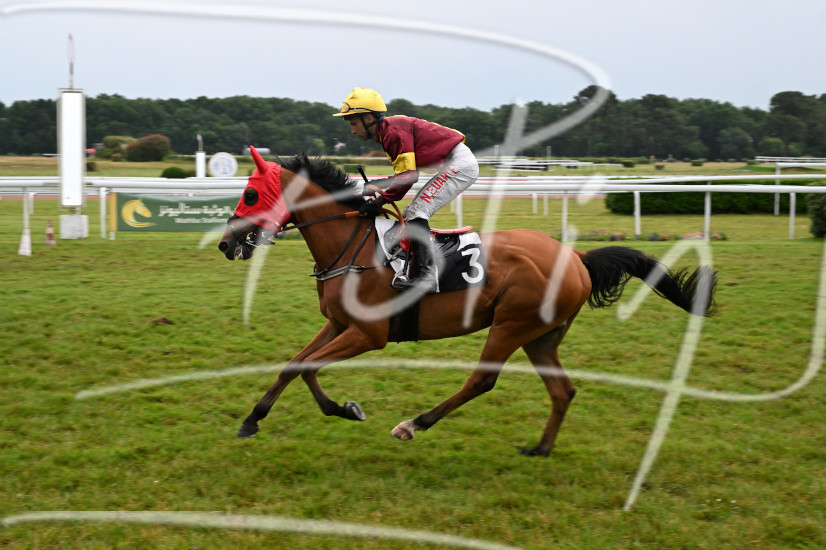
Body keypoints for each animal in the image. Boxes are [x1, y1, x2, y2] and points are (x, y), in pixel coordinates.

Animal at [218, 146, 717, 456]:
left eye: (250, 193)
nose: (225, 243)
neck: (353, 248)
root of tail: (576, 257)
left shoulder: (369, 334)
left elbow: (307, 366)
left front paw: (343, 409)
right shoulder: (339, 324)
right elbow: (293, 364)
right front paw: (254, 420)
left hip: (511, 325)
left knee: (482, 380)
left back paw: (413, 424)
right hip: (541, 336)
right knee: (563, 390)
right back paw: (541, 448)